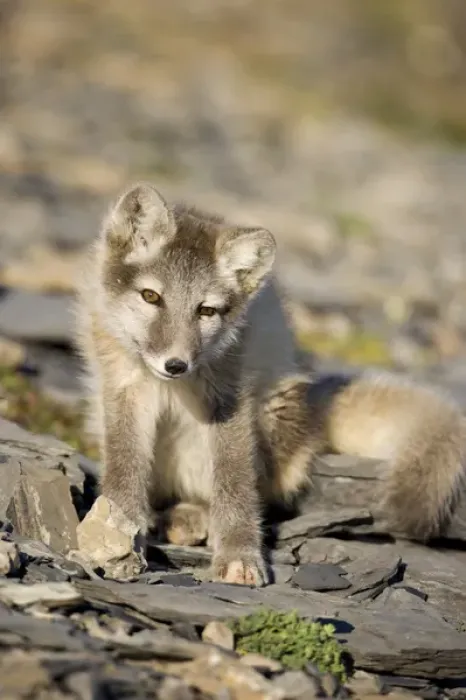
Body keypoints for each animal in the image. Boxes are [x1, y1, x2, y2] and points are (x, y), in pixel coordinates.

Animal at [74, 181, 466, 585]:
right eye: (151, 296)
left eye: (206, 311)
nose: (176, 364)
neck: (171, 387)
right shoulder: (123, 388)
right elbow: (124, 466)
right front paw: (118, 534)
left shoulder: (228, 399)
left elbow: (235, 481)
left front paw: (239, 555)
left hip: (265, 421)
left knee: (258, 489)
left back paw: (193, 518)